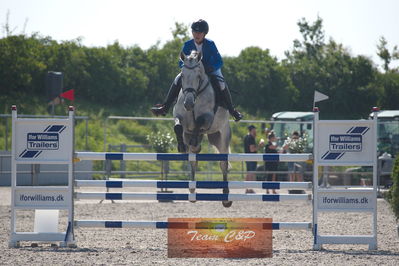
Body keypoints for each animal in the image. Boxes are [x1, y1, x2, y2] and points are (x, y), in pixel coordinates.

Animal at [173, 50, 233, 208]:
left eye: (198, 77)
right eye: (182, 76)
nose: (188, 104)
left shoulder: (208, 118)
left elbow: (199, 122)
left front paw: (194, 140)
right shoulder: (179, 117)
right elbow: (178, 126)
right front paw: (181, 146)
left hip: (222, 136)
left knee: (223, 164)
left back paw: (226, 198)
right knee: (193, 160)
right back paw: (192, 192)